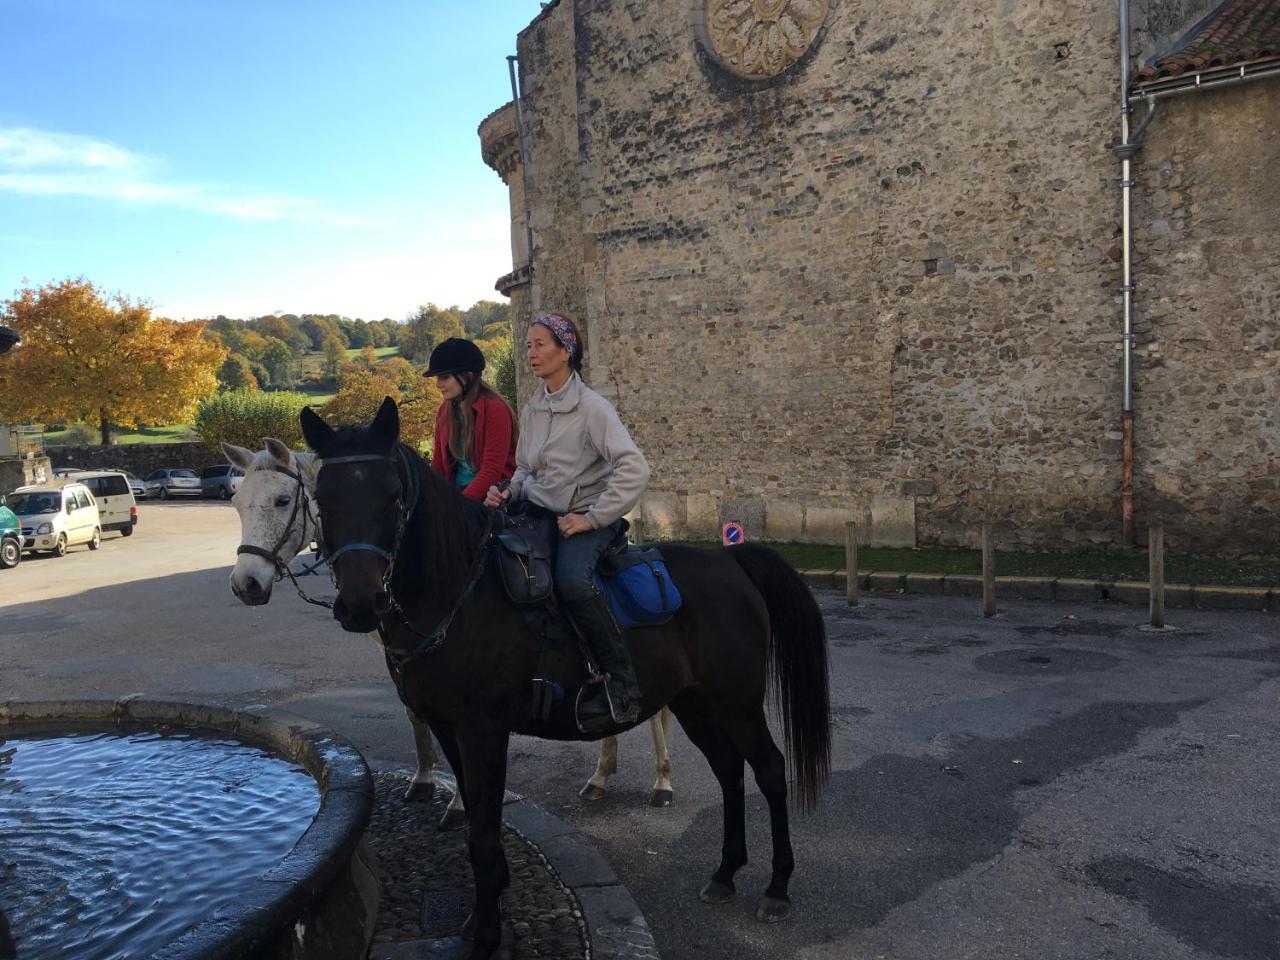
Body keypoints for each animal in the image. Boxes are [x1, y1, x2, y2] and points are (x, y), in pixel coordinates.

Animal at [224, 440, 675, 814]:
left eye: (283, 500)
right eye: (237, 502)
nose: (246, 584)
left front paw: (458, 801)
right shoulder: (402, 658)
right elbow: (414, 714)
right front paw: (424, 779)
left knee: (651, 709)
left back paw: (662, 782)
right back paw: (600, 775)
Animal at [299, 399, 829, 960]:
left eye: (393, 497)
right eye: (323, 498)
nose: (361, 603)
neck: (459, 593)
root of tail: (730, 560)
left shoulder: (484, 730)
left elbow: (483, 832)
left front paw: (487, 934)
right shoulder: (448, 729)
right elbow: (477, 817)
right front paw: (483, 912)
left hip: (738, 704)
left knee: (769, 770)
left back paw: (777, 886)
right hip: (696, 705)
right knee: (729, 771)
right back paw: (726, 872)